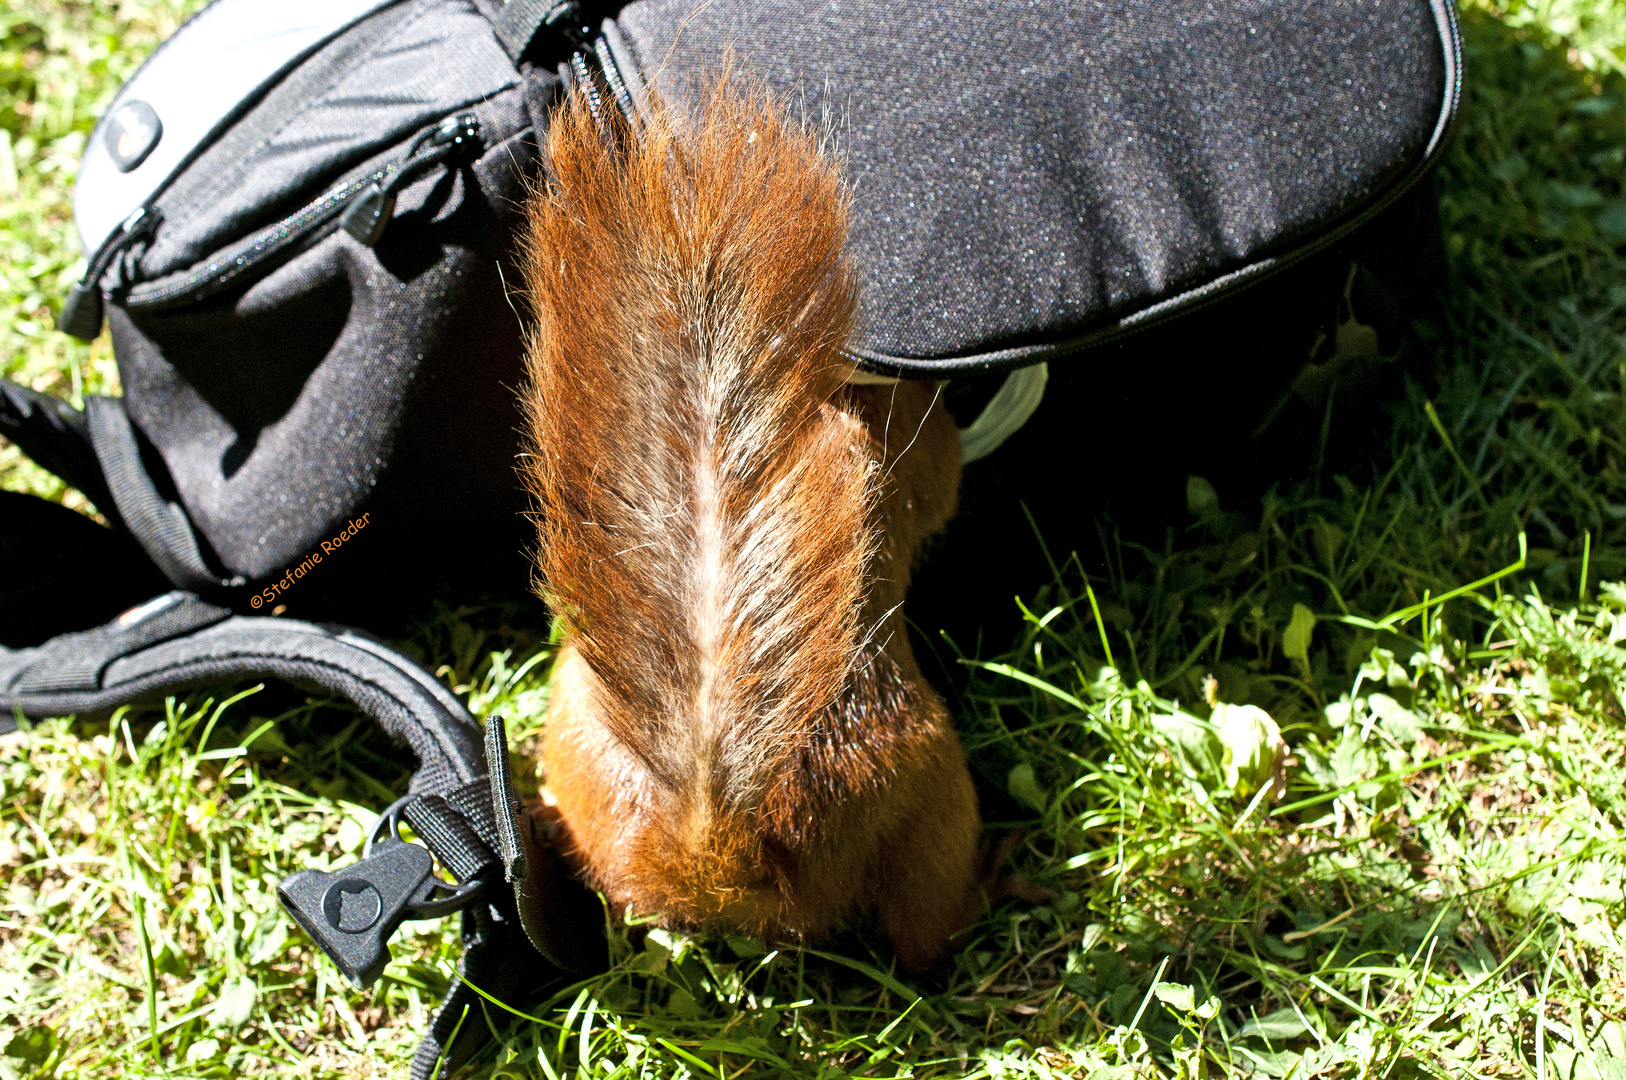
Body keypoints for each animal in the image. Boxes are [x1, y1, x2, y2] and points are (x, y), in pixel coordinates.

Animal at [520, 76, 1001, 969]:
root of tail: (719, 853)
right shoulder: (913, 457)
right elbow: (939, 486)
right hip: (929, 802)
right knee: (926, 938)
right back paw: (997, 879)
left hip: (574, 734)